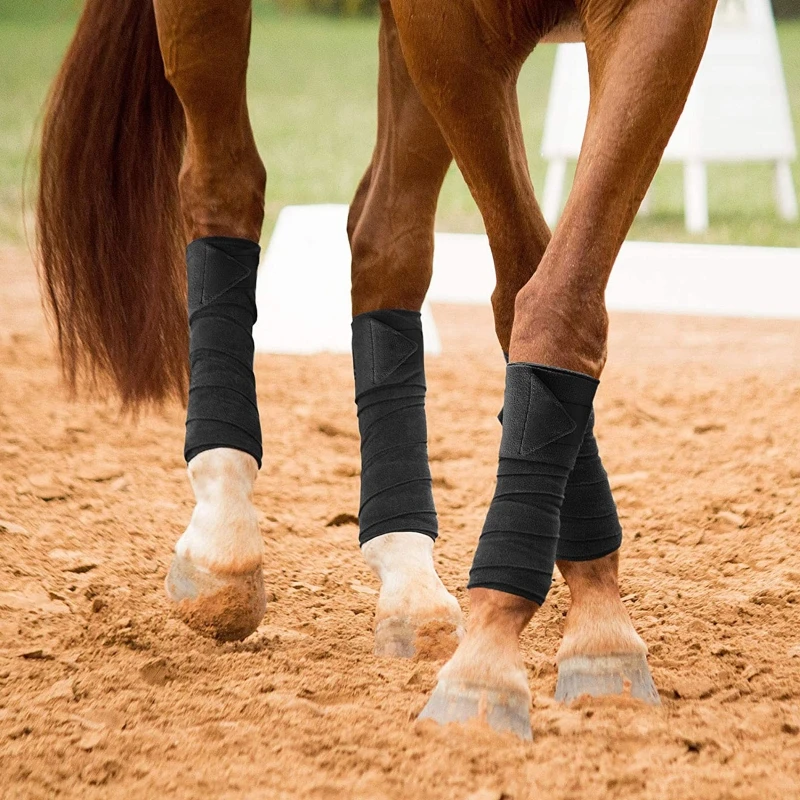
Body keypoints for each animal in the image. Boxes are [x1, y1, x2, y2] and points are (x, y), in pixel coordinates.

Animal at [37, 0, 716, 739]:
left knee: (385, 239)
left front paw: (597, 625)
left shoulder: (659, 20)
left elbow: (561, 296)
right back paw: (223, 531)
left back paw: (406, 572)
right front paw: (492, 660)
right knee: (222, 184)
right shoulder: (456, 35)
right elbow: (523, 283)